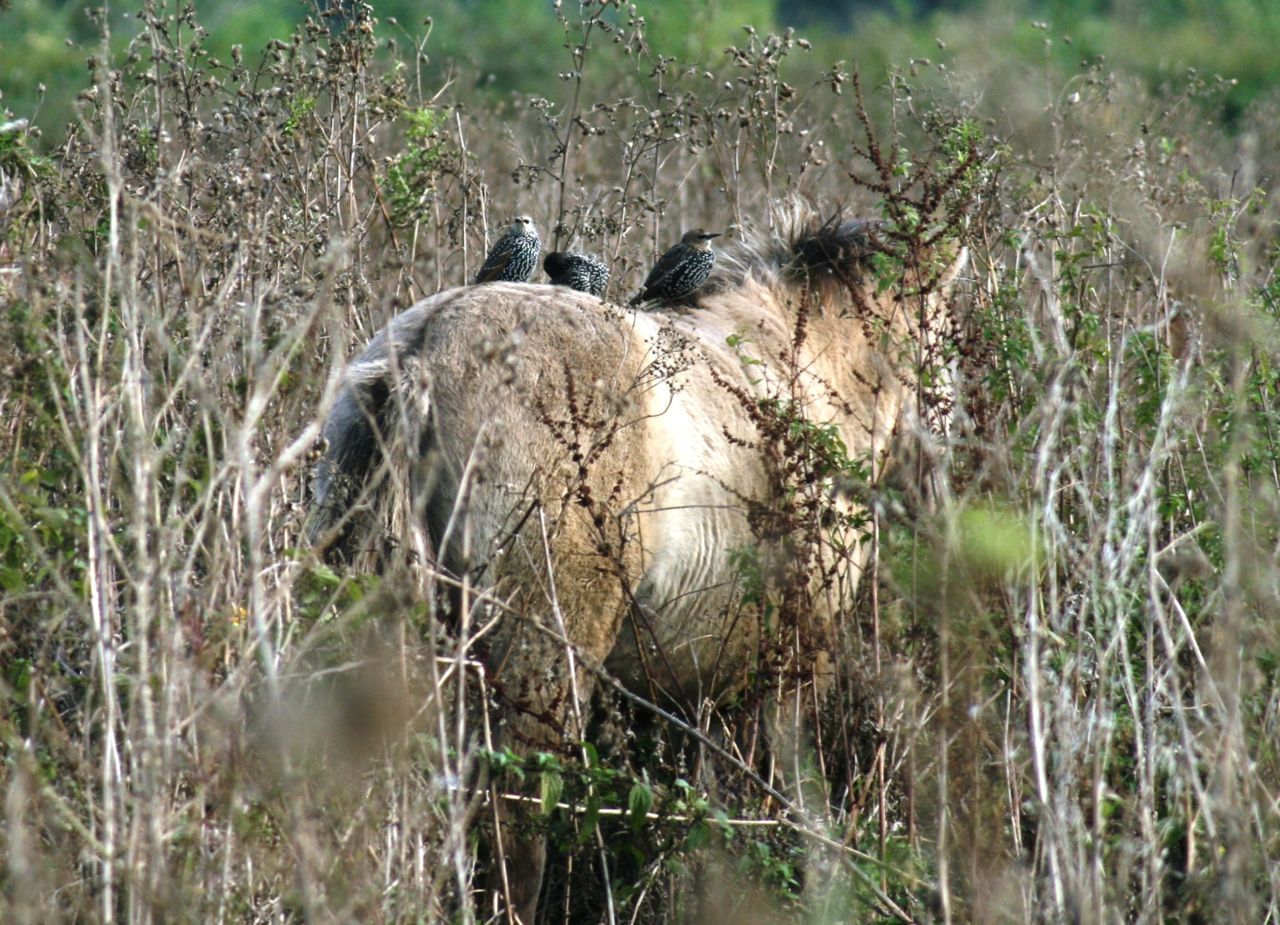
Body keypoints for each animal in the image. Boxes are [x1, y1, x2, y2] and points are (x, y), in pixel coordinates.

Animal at [312, 213, 962, 921]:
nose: (942, 494)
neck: (801, 369)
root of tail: (422, 357)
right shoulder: (791, 665)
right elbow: (793, 799)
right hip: (540, 661)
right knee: (510, 827)